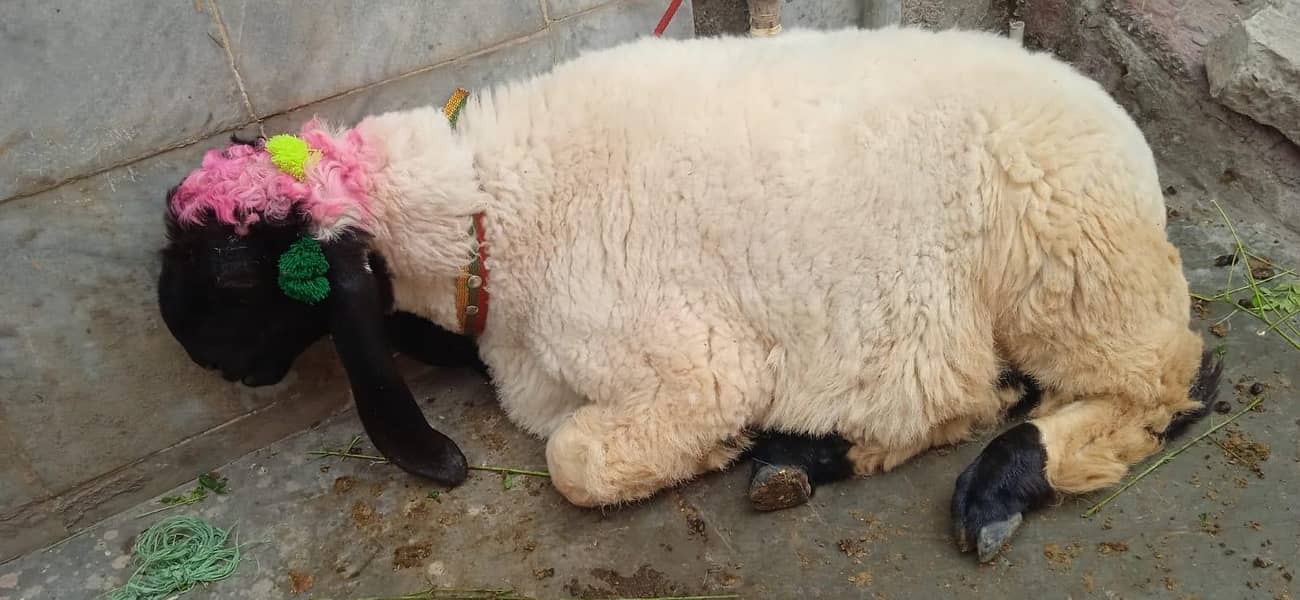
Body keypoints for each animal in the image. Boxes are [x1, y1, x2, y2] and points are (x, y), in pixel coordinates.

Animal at [157, 26, 1222, 562]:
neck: (490, 207)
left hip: (1074, 276)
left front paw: (720, 445)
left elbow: (577, 461)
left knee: (1171, 381)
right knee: (971, 389)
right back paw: (814, 454)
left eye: (236, 269)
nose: (194, 351)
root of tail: (1121, 134)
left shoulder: (690, 368)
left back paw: (991, 489)